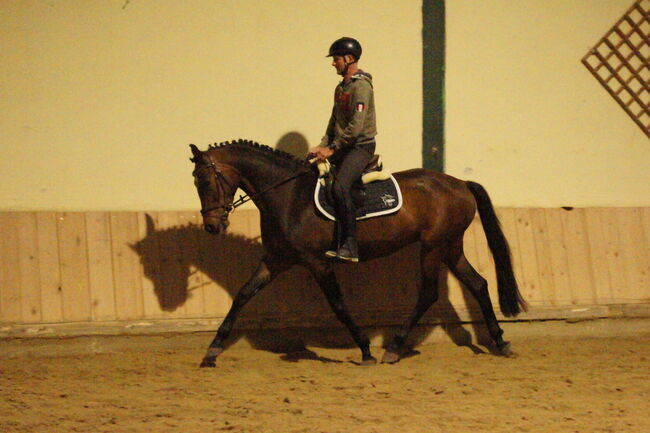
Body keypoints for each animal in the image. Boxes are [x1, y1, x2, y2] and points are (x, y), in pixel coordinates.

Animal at [190, 140, 524, 366]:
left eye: (204, 180)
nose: (212, 226)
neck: (289, 196)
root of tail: (461, 183)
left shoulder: (318, 263)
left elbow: (338, 305)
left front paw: (365, 349)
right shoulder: (276, 259)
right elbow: (243, 295)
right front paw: (212, 350)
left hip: (433, 247)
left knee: (429, 293)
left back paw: (394, 348)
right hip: (449, 246)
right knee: (478, 284)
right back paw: (501, 342)